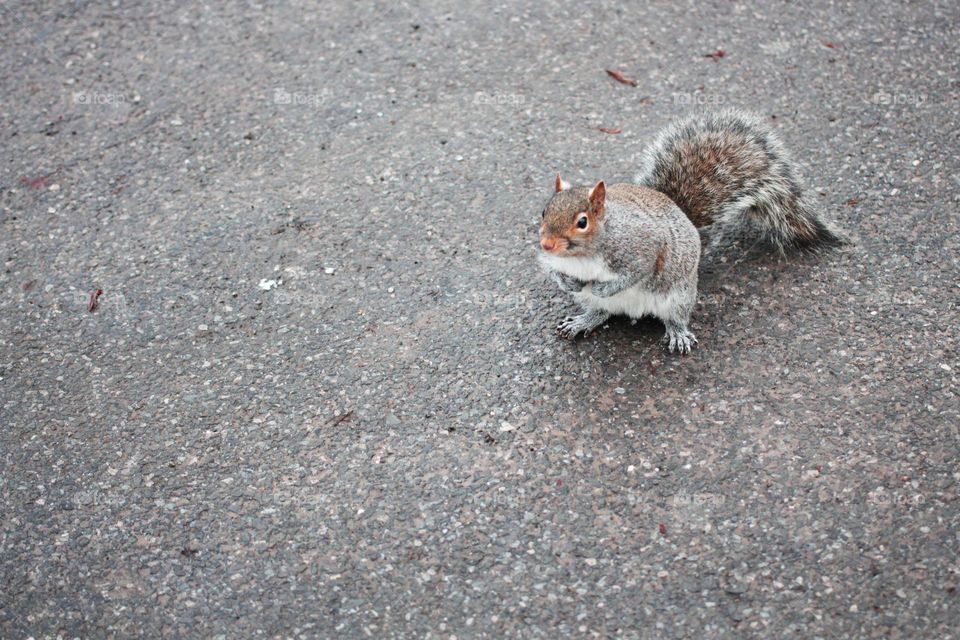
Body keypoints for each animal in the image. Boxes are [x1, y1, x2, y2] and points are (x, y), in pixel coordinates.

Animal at [538, 109, 847, 353]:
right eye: (544, 211)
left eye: (582, 222)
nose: (546, 245)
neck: (583, 256)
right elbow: (553, 270)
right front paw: (566, 281)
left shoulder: (643, 247)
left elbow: (635, 272)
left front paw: (606, 286)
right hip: (591, 300)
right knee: (601, 313)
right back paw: (582, 321)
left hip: (678, 295)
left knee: (673, 317)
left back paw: (677, 333)